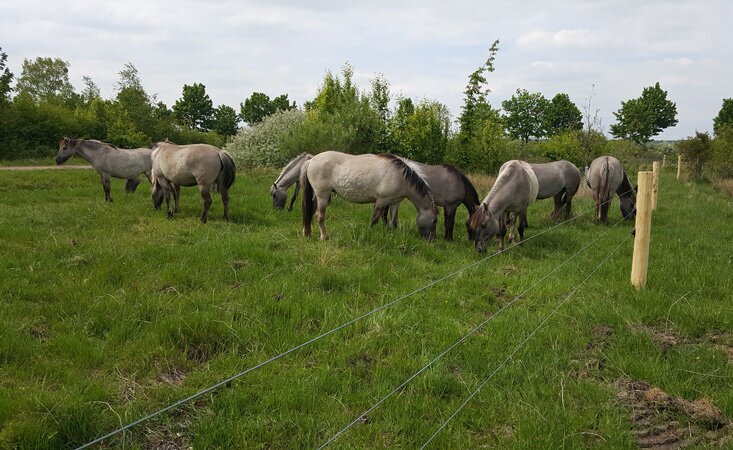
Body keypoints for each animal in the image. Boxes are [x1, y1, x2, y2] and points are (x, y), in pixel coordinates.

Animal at [301, 151, 438, 241]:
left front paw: (392, 235)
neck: (400, 177)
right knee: (320, 215)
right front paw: (369, 233)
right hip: (322, 195)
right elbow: (375, 219)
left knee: (310, 211)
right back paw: (324, 237)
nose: (431, 240)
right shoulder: (382, 200)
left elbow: (393, 221)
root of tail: (311, 160)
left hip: (316, 195)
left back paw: (307, 233)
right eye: (435, 220)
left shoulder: (395, 202)